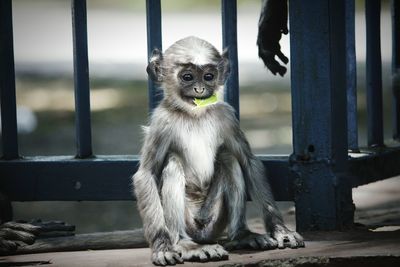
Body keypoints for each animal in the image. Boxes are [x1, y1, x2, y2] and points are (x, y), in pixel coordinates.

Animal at [133, 36, 304, 266]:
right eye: (187, 77)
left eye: (208, 76)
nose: (199, 90)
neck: (194, 114)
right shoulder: (162, 121)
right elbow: (146, 174)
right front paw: (162, 247)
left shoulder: (226, 115)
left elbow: (249, 162)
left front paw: (280, 229)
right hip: (189, 220)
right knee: (174, 163)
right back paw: (186, 245)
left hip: (215, 217)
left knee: (229, 157)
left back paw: (241, 235)